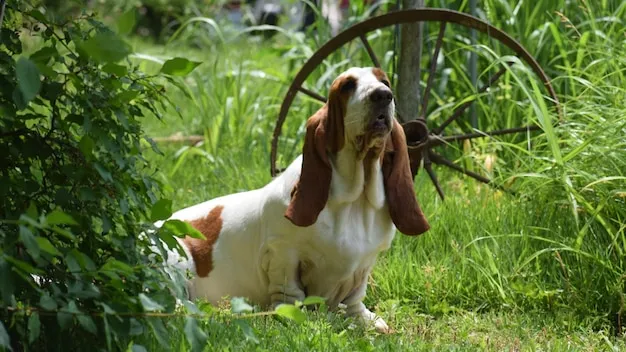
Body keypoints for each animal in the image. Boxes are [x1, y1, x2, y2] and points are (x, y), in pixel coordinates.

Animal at [157, 66, 428, 332]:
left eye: (386, 82)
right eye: (347, 86)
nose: (382, 95)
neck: (354, 199)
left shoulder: (364, 264)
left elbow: (354, 298)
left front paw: (365, 320)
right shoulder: (282, 254)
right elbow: (290, 291)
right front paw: (294, 317)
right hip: (175, 256)